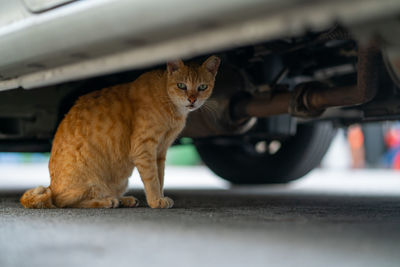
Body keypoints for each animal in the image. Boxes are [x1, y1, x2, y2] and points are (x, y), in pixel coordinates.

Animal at [20, 56, 220, 209]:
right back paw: (107, 201)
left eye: (202, 87)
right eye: (181, 85)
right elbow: (152, 179)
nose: (192, 100)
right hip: (88, 184)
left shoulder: (160, 152)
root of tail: (51, 186)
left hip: (122, 180)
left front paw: (159, 197)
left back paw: (123, 199)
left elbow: (160, 177)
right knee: (64, 201)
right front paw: (156, 201)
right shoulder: (144, 149)